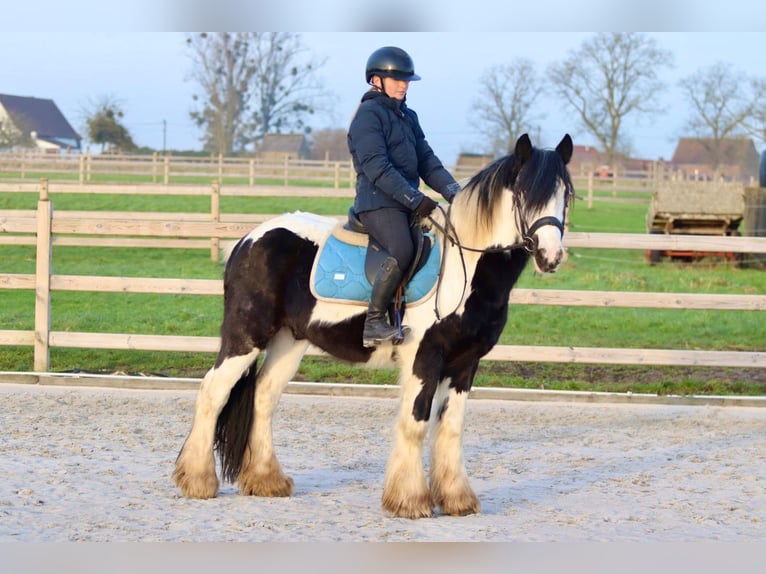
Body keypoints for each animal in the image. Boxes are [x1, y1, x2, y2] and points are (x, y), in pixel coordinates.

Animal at [174, 133, 576, 520]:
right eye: (524, 193)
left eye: (565, 195)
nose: (551, 257)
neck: (465, 269)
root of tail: (247, 240)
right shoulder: (424, 358)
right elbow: (415, 424)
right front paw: (410, 501)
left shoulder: (465, 363)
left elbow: (450, 427)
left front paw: (457, 499)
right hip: (247, 336)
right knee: (213, 391)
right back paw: (197, 480)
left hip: (289, 341)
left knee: (263, 396)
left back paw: (266, 480)